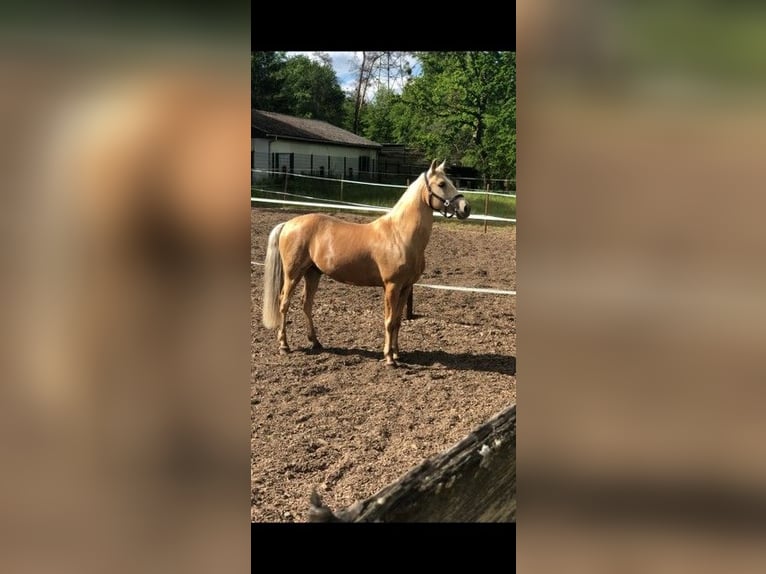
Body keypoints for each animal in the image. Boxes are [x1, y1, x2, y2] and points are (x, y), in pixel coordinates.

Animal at [261, 159, 471, 367]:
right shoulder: (391, 286)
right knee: (284, 303)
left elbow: (397, 321)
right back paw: (284, 346)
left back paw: (316, 342)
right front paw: (389, 358)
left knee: (307, 304)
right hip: (293, 274)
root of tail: (288, 224)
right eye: (442, 184)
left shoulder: (405, 287)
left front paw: (397, 354)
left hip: (312, 273)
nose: (466, 208)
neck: (399, 235)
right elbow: (389, 321)